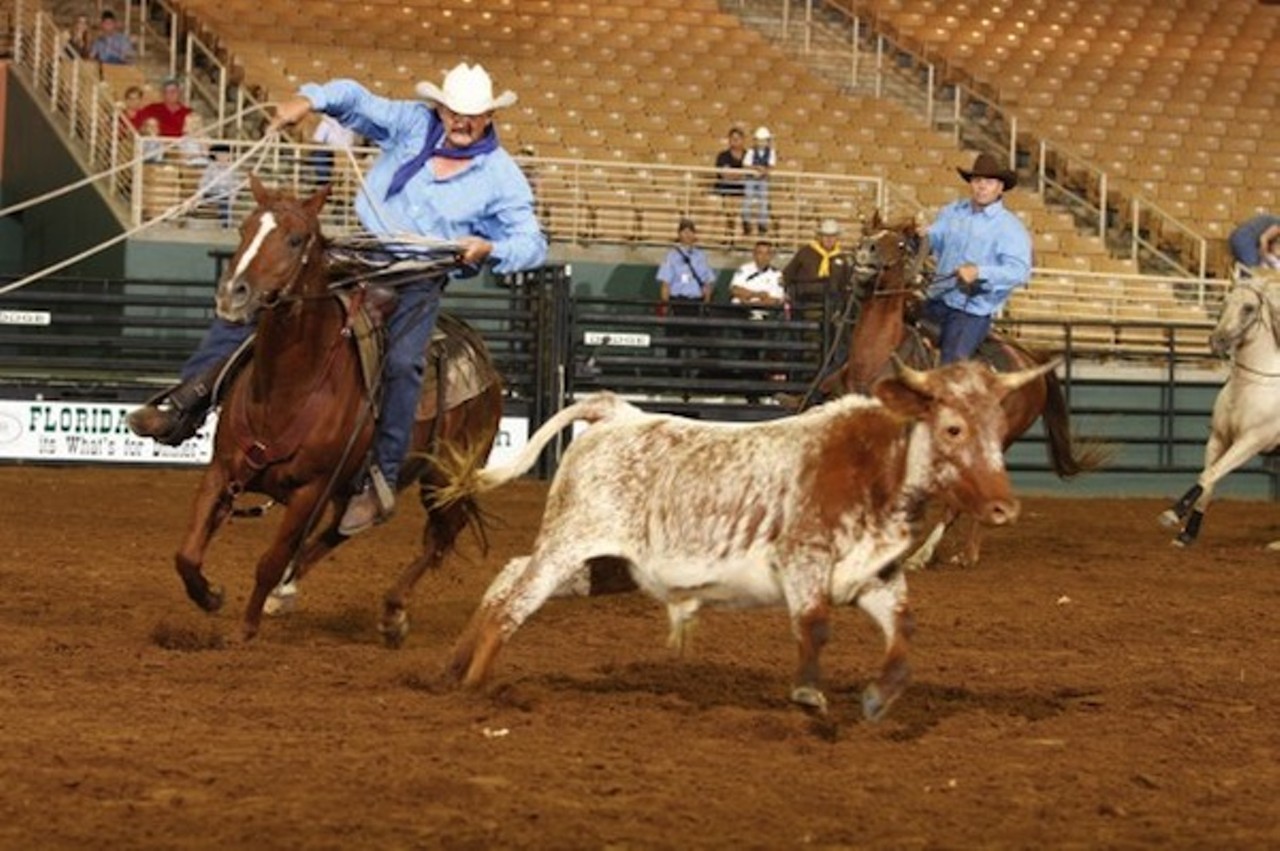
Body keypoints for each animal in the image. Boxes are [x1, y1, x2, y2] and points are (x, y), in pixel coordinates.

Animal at [176, 177, 504, 644]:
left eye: (296, 239)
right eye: (244, 229)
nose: (232, 294)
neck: (287, 390)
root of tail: (479, 356)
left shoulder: (309, 490)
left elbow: (270, 560)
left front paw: (245, 630)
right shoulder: (223, 469)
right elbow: (187, 552)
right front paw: (210, 596)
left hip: (445, 475)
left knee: (440, 536)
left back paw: (393, 611)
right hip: (355, 486)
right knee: (340, 531)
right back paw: (287, 593)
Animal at [824, 216, 1105, 568]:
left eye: (900, 244)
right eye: (867, 235)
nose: (867, 251)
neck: (875, 359)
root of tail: (1029, 358)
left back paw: (934, 554)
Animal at [1162, 275, 1280, 547]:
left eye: (1248, 308)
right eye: (1224, 303)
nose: (1217, 342)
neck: (1252, 386)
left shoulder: (1250, 442)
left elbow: (1208, 476)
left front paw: (1173, 514)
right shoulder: (1219, 439)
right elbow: (1208, 483)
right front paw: (1186, 535)